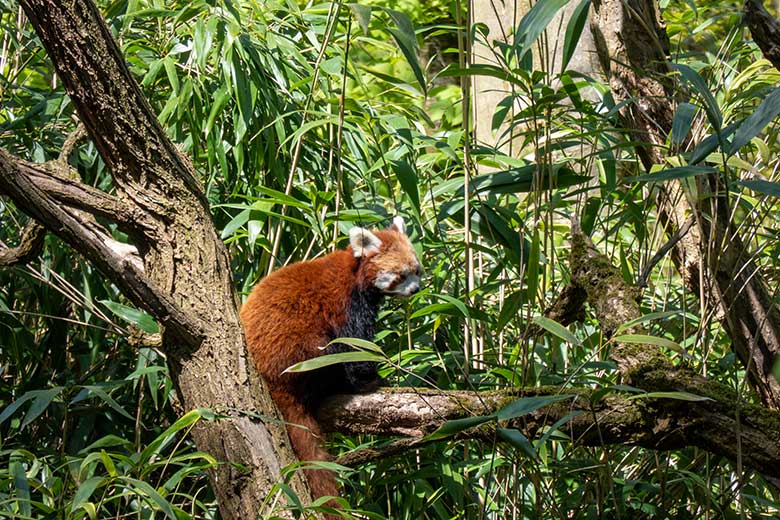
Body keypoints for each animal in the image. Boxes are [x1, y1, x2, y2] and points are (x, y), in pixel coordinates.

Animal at [241, 216, 420, 512]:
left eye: (417, 270)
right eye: (401, 275)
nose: (417, 289)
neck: (355, 273)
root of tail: (272, 377)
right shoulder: (346, 304)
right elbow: (354, 346)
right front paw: (371, 380)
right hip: (303, 349)